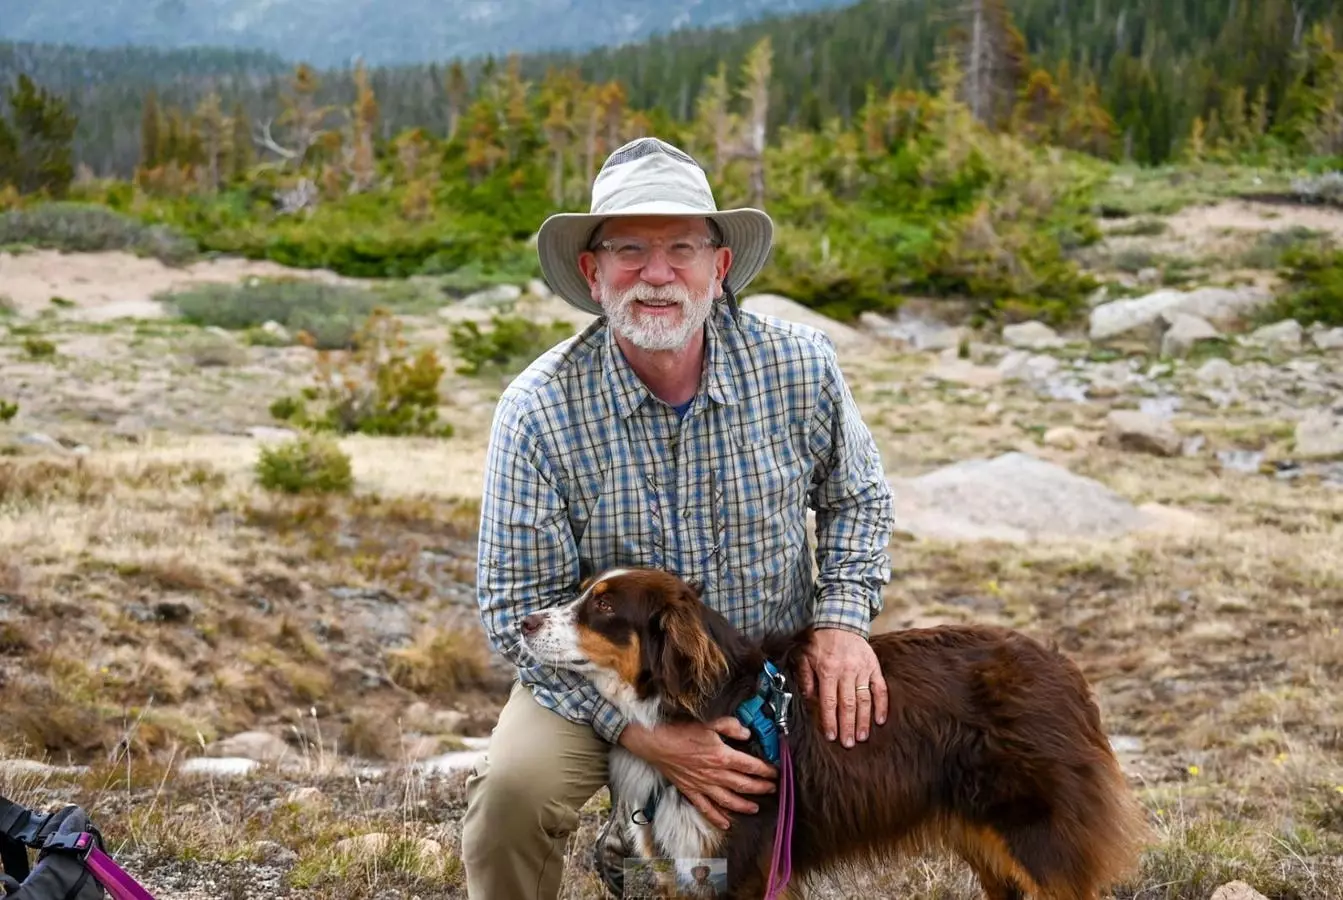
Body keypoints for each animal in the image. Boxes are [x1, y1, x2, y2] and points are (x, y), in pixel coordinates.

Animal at [518, 566, 1149, 897]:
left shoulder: (745, 867)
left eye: (604, 609)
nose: (522, 621)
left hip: (1038, 841)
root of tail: (1064, 670)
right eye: (582, 590)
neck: (696, 704)